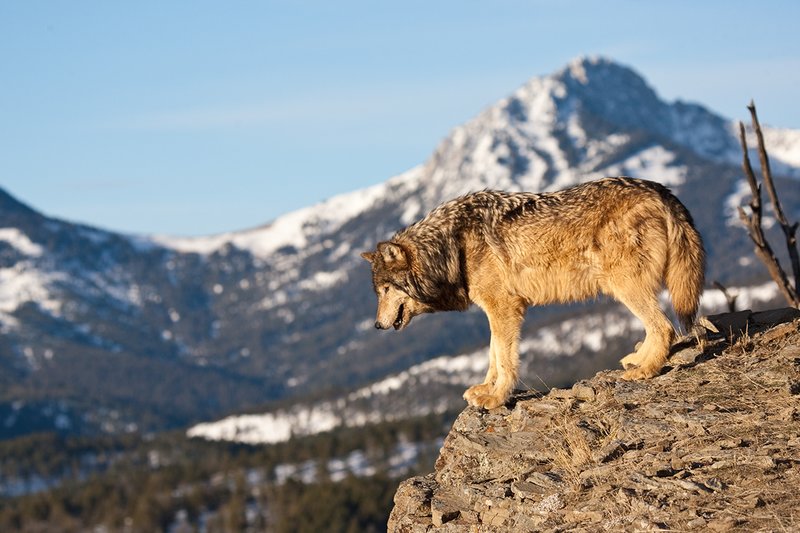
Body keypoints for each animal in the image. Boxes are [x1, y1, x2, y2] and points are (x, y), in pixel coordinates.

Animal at [361, 177, 705, 410]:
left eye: (386, 289)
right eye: (377, 292)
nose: (376, 325)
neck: (451, 245)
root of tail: (659, 188)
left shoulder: (504, 307)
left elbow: (504, 359)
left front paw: (498, 397)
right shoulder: (495, 310)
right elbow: (492, 355)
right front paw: (485, 389)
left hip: (624, 285)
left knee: (664, 327)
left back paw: (646, 371)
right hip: (625, 288)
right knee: (657, 328)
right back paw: (638, 361)